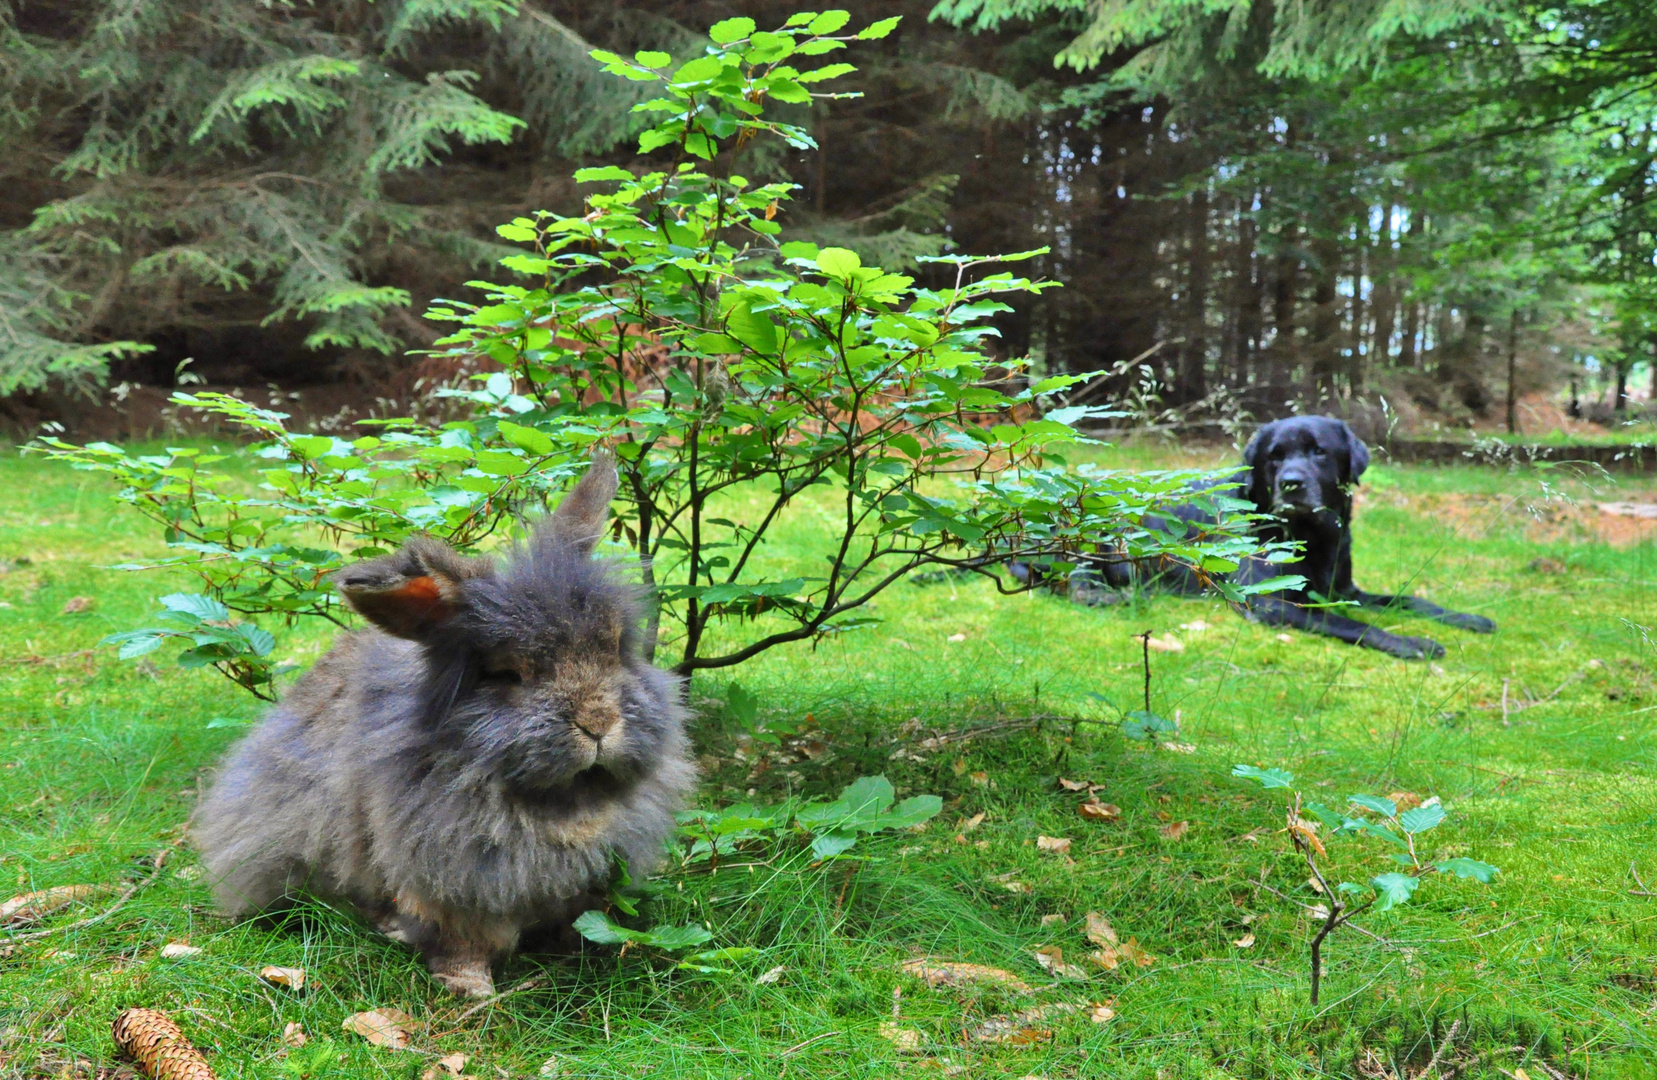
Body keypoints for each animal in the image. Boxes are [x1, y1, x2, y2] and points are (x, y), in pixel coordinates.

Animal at [192, 453, 692, 993]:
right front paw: (472, 989)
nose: (598, 722)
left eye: (616, 649)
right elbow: (462, 940)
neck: (560, 803)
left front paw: (582, 951)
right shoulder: (446, 883)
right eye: (507, 673)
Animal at [1027, 417, 1497, 662]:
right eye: (1275, 457)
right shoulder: (1270, 603)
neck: (1310, 537)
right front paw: (1411, 642)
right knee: (1069, 576)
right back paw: (1098, 594)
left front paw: (1468, 619)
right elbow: (1349, 623)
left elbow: (1410, 600)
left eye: (1319, 451)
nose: (1291, 484)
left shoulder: (1345, 589)